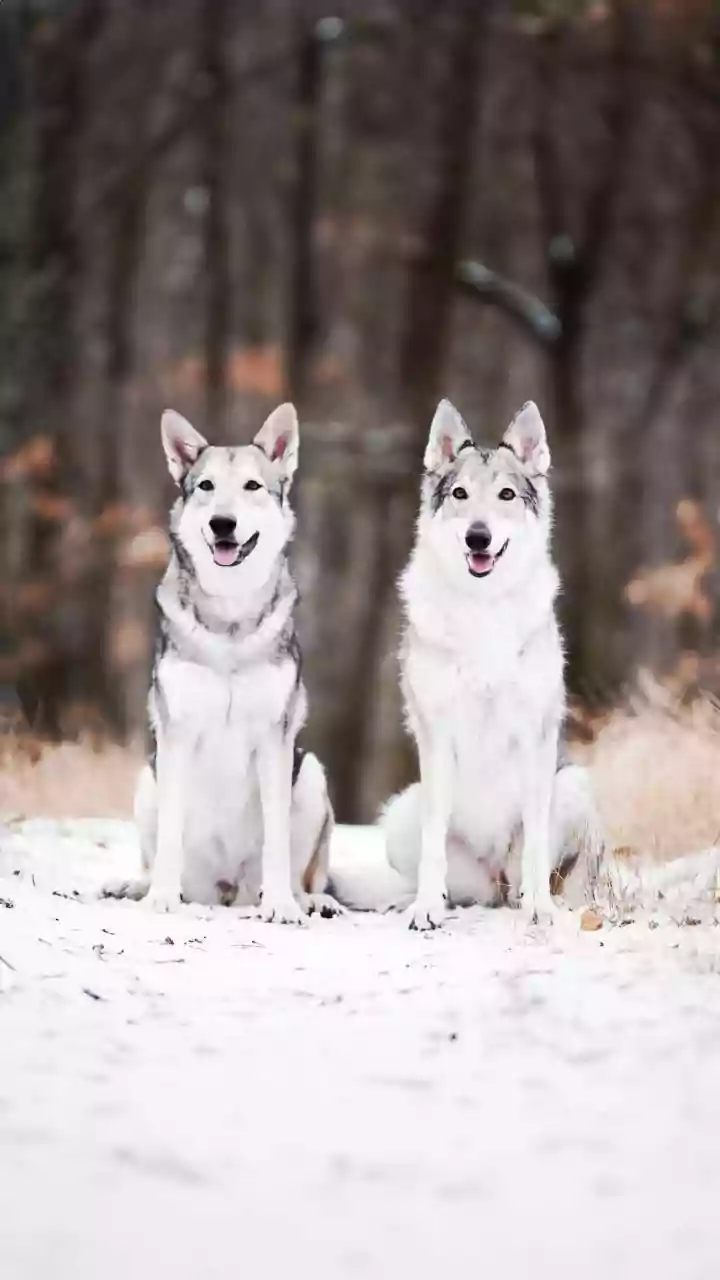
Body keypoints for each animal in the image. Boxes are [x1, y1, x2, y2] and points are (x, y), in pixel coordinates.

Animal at [103, 403, 340, 924]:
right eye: (206, 486)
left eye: (252, 486)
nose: (223, 524)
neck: (230, 619)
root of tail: (227, 889)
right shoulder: (176, 733)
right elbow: (169, 837)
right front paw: (161, 899)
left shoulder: (275, 737)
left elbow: (277, 841)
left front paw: (281, 907)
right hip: (148, 776)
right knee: (154, 856)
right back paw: (138, 885)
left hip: (310, 772)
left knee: (304, 873)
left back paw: (307, 900)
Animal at [333, 398, 604, 930]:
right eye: (459, 493)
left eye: (506, 494)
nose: (479, 537)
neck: (484, 608)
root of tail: (493, 879)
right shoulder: (437, 737)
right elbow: (433, 849)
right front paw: (424, 910)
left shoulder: (536, 738)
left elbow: (535, 847)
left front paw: (542, 912)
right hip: (402, 814)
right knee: (456, 883)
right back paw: (417, 900)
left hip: (574, 786)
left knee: (525, 878)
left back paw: (540, 901)